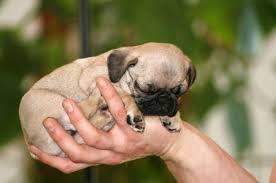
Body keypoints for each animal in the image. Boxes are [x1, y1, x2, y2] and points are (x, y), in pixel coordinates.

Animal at [18, 42, 196, 157]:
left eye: (179, 92)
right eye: (143, 88)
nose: (163, 100)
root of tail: (28, 139)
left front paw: (174, 118)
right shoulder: (96, 80)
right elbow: (126, 95)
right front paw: (136, 114)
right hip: (55, 102)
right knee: (79, 112)